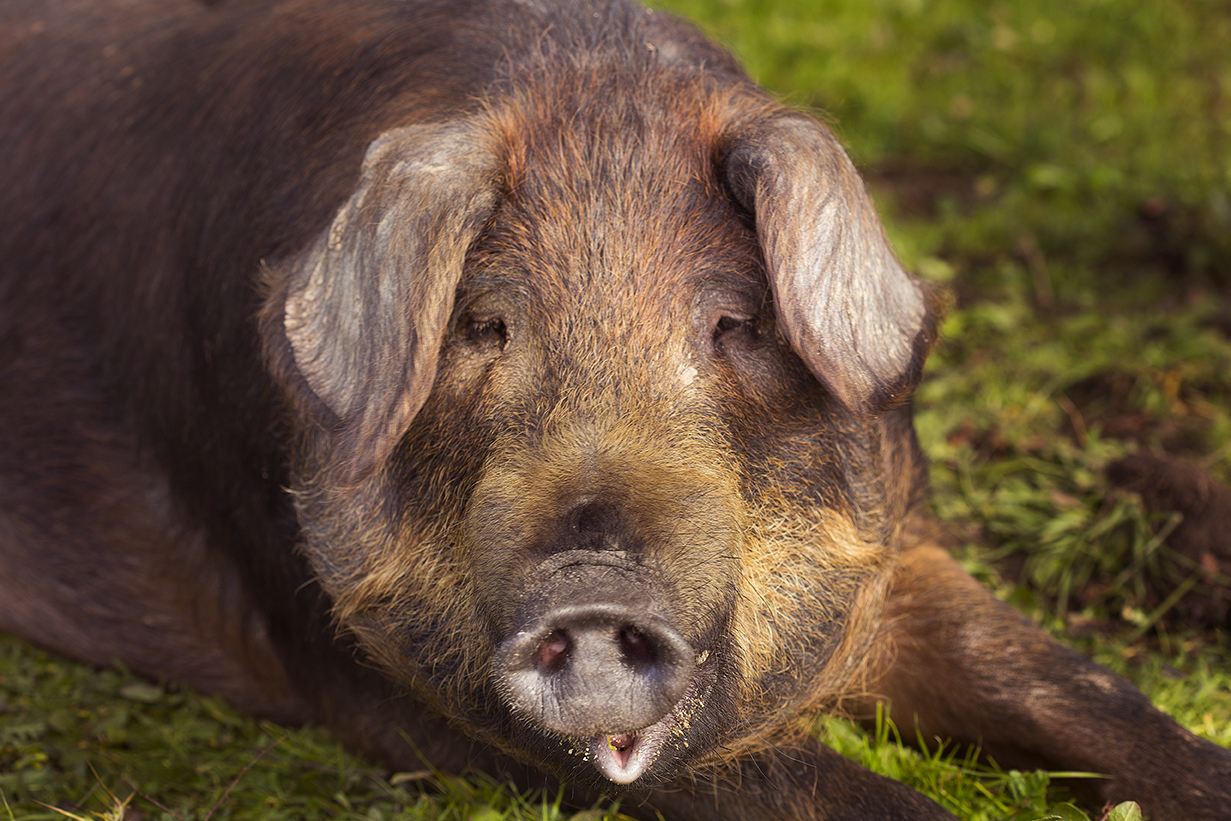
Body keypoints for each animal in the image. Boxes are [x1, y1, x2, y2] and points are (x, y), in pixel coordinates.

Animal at [0, 0, 1227, 818]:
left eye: (734, 322)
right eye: (482, 324)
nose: (592, 585)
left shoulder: (903, 548)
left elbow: (1070, 683)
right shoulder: (383, 680)